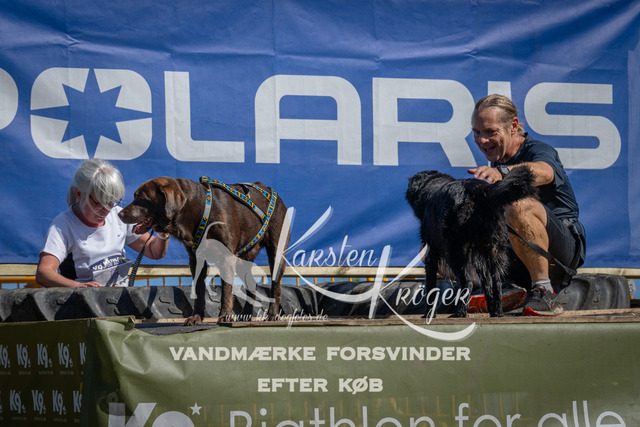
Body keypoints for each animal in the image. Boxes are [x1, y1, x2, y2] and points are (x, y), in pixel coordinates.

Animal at [118, 177, 289, 325]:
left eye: (141, 198)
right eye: (134, 196)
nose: (119, 214)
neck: (200, 209)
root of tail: (272, 191)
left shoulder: (226, 257)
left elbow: (226, 289)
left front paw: (225, 315)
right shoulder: (195, 259)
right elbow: (199, 291)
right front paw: (196, 317)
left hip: (276, 251)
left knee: (276, 286)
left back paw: (272, 315)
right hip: (244, 258)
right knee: (252, 285)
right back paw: (245, 316)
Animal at [405, 167, 537, 317]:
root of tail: (480, 191)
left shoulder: (431, 252)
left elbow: (431, 286)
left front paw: (429, 314)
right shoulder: (478, 257)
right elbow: (487, 284)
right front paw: (491, 308)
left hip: (456, 251)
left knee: (468, 282)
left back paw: (460, 313)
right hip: (493, 250)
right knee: (496, 282)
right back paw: (497, 312)